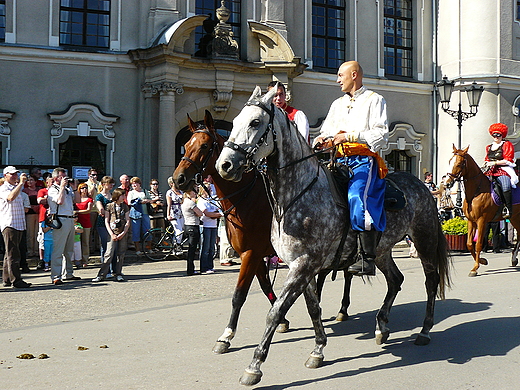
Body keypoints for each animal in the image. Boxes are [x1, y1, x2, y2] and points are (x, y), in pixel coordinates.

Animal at [174, 109, 288, 354]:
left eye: (204, 146)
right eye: (186, 144)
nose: (178, 179)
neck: (247, 198)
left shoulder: (251, 254)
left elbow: (239, 295)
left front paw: (226, 335)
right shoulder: (254, 254)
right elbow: (266, 287)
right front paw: (282, 319)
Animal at [215, 84, 450, 386]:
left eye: (255, 122)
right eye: (233, 122)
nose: (225, 165)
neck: (295, 196)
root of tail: (422, 185)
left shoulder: (302, 265)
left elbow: (275, 311)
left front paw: (254, 366)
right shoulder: (299, 265)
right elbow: (312, 307)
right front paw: (318, 349)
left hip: (424, 241)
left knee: (431, 283)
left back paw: (424, 331)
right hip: (382, 250)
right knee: (395, 280)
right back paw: (381, 326)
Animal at [446, 145, 520, 276]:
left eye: (459, 163)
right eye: (450, 161)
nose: (447, 183)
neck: (476, 191)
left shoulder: (481, 221)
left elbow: (479, 244)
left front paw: (475, 268)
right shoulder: (471, 221)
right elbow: (469, 244)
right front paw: (483, 261)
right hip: (514, 217)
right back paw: (514, 258)